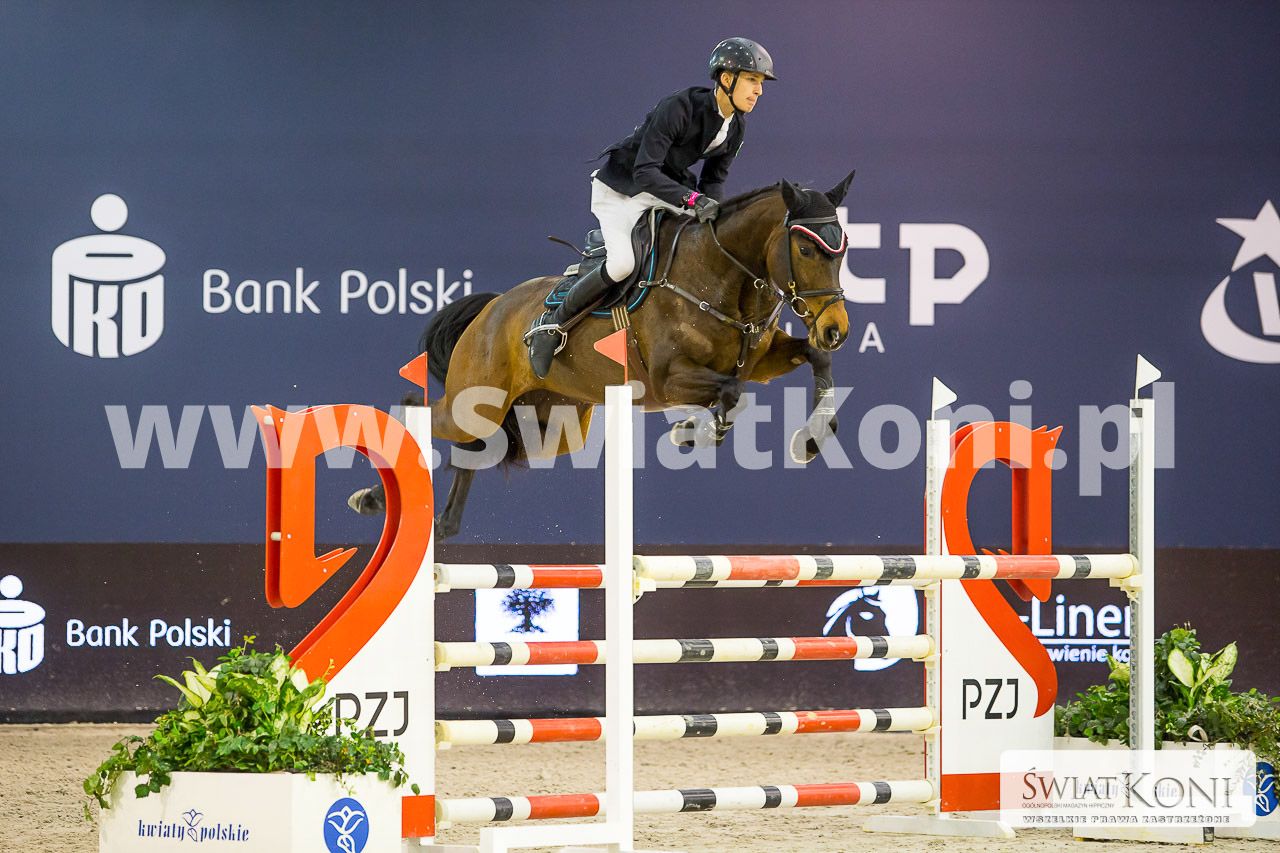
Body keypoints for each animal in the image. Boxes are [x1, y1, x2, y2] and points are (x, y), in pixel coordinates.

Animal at [350, 173, 856, 539]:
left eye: (843, 249)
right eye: (806, 247)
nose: (836, 329)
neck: (720, 277)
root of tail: (490, 310)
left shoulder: (762, 361)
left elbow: (815, 361)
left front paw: (811, 439)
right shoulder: (669, 378)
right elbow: (731, 393)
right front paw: (691, 432)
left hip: (548, 427)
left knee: (475, 449)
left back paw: (442, 523)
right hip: (478, 398)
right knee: (416, 409)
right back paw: (375, 498)